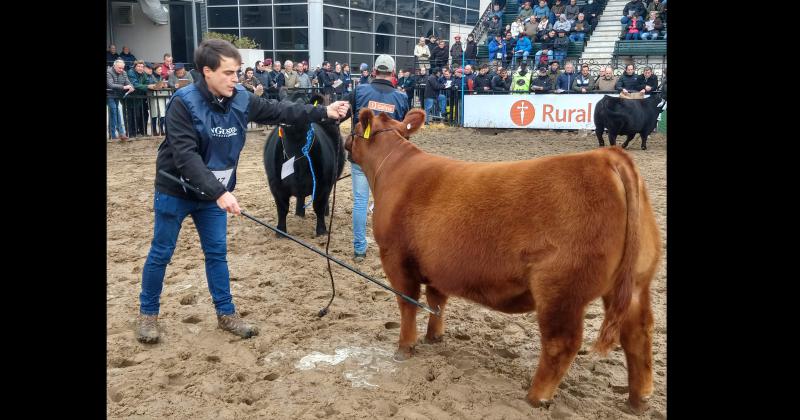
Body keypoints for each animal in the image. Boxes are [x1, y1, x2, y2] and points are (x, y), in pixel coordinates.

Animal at [262, 92, 344, 236]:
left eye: (303, 103)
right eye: (282, 102)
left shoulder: (324, 184)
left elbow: (319, 206)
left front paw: (321, 230)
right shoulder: (275, 184)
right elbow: (282, 208)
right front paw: (280, 231)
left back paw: (326, 212)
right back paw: (299, 213)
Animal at [344, 106, 664, 412]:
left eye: (356, 128)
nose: (345, 142)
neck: (395, 169)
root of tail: (607, 157)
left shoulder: (395, 257)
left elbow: (407, 304)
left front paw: (404, 347)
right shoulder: (436, 265)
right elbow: (437, 302)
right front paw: (434, 336)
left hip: (560, 290)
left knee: (562, 343)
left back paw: (536, 397)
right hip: (636, 284)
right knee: (639, 335)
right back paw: (638, 400)